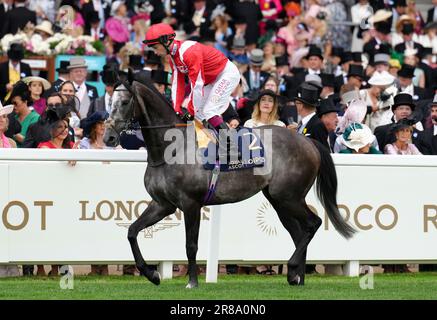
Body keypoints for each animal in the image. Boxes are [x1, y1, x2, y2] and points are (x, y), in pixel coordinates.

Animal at [104, 79, 354, 288]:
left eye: (124, 102)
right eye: (110, 102)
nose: (108, 137)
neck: (171, 149)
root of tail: (308, 141)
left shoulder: (190, 204)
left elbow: (191, 245)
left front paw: (192, 283)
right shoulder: (162, 204)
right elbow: (132, 231)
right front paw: (152, 274)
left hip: (289, 197)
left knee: (313, 223)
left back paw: (293, 269)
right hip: (279, 200)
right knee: (298, 232)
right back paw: (297, 277)